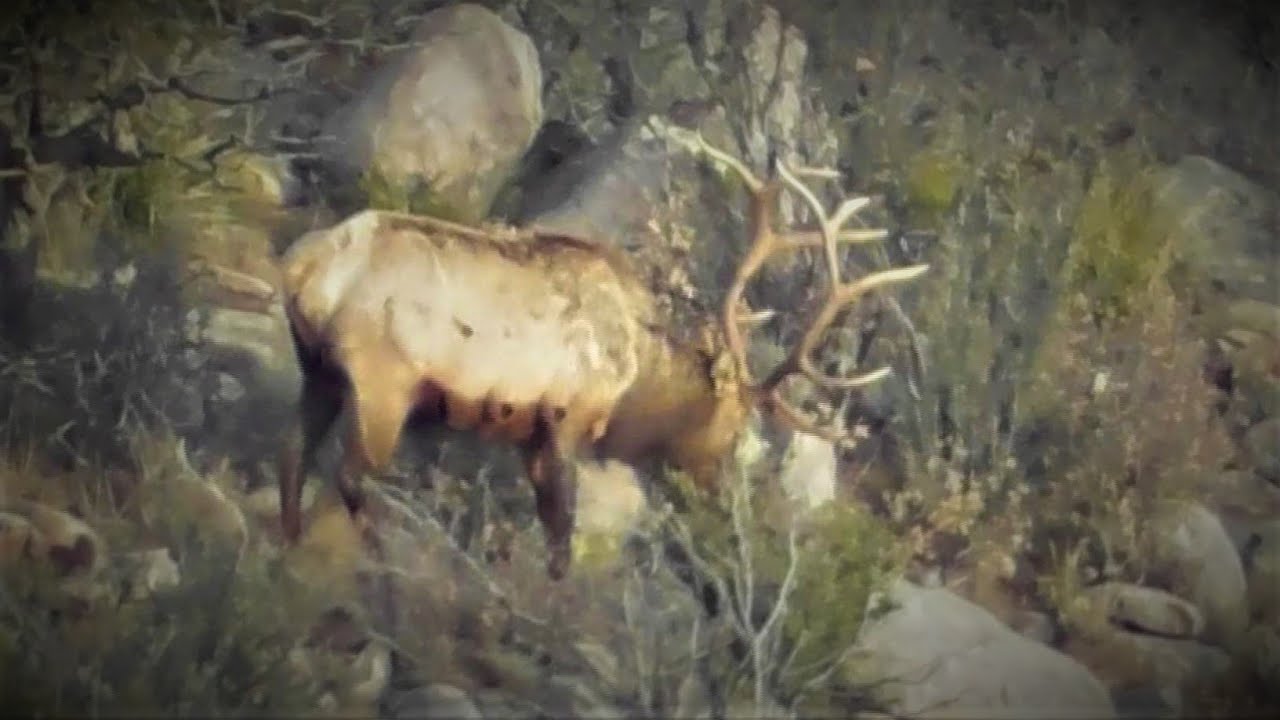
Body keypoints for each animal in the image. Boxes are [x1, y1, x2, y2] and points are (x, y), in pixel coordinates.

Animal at [275, 120, 929, 584]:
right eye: (734, 426)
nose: (722, 503)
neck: (638, 383)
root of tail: (309, 265)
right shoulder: (567, 418)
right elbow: (561, 529)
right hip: (383, 381)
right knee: (348, 473)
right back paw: (379, 557)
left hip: (317, 368)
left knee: (296, 454)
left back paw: (290, 544)